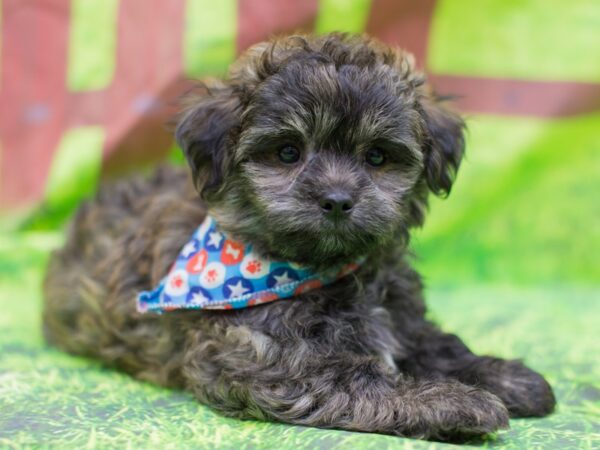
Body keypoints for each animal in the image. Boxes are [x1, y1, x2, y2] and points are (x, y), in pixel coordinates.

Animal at [44, 34, 556, 440]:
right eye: (288, 152)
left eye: (377, 156)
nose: (336, 199)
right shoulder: (263, 359)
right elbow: (357, 378)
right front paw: (451, 401)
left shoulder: (402, 319)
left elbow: (435, 344)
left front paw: (502, 375)